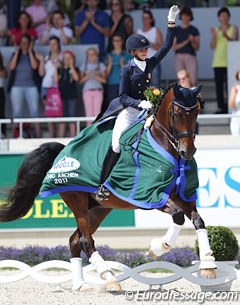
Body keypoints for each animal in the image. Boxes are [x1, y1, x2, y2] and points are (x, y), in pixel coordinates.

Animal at [0, 82, 217, 290]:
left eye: (196, 112)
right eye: (176, 113)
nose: (187, 151)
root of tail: (63, 151)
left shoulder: (182, 195)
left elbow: (198, 220)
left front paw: (208, 266)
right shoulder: (148, 196)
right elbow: (178, 216)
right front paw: (158, 248)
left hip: (98, 209)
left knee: (75, 241)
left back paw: (81, 285)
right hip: (77, 201)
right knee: (86, 241)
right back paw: (110, 279)